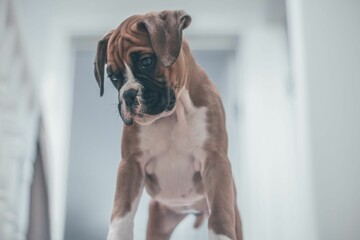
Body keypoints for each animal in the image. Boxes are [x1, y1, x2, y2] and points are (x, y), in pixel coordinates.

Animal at [94, 9, 243, 240]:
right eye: (112, 77)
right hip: (159, 220)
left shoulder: (215, 162)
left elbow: (220, 216)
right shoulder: (130, 164)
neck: (173, 116)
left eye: (146, 61)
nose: (128, 95)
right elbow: (121, 214)